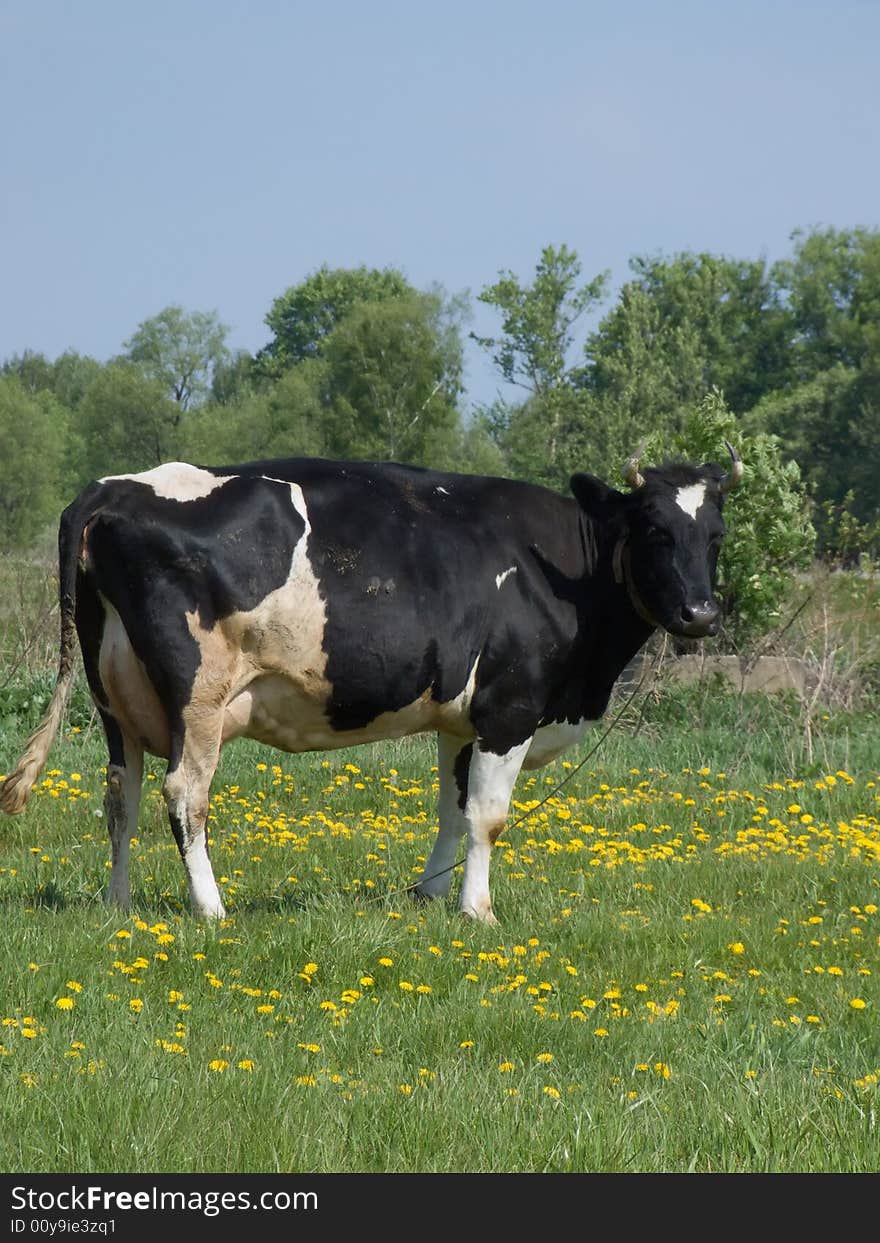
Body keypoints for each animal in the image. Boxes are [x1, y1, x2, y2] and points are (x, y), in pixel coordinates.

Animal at [0, 447, 740, 924]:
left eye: (716, 535)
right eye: (652, 528)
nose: (701, 614)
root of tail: (114, 486)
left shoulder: (460, 719)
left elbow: (452, 809)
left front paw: (429, 895)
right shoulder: (509, 709)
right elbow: (488, 817)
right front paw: (478, 911)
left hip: (113, 698)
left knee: (119, 797)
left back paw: (118, 904)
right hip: (197, 696)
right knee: (184, 795)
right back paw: (211, 909)